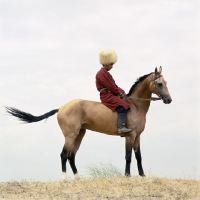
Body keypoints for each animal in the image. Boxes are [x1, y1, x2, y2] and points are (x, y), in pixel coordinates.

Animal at [5, 66, 172, 180]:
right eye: (159, 84)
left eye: (165, 82)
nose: (169, 100)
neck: (135, 105)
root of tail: (61, 107)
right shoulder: (130, 136)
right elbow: (128, 156)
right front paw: (127, 176)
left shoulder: (137, 136)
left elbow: (138, 156)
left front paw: (142, 176)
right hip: (70, 135)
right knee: (64, 154)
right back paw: (65, 179)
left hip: (80, 134)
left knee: (71, 156)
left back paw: (78, 178)